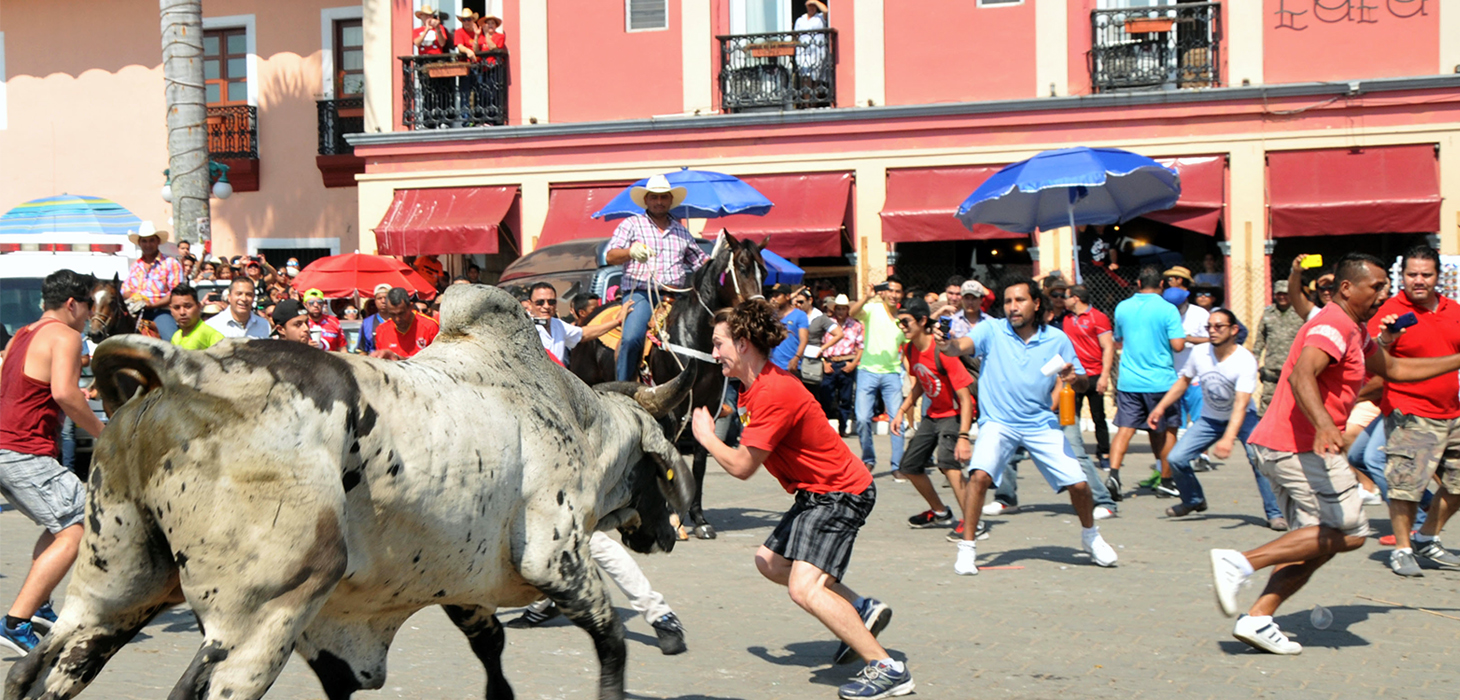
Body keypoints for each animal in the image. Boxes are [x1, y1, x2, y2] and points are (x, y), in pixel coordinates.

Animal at [1, 284, 694, 700]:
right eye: (661, 470)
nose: (667, 535)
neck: (573, 417)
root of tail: (183, 371)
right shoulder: (557, 558)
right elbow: (609, 640)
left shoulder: (450, 586)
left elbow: (490, 651)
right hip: (262, 614)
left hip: (118, 585)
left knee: (45, 664)